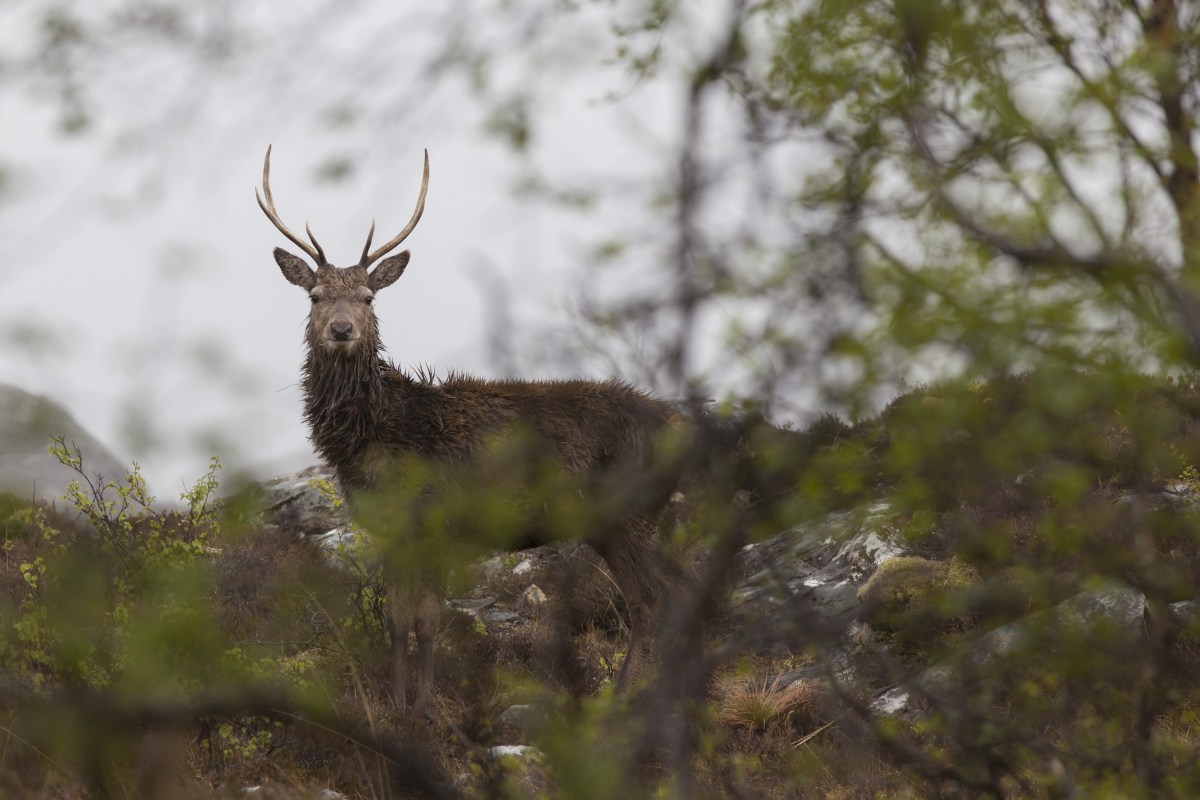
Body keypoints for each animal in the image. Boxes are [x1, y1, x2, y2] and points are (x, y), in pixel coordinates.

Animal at [256, 147, 698, 712]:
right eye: (313, 295)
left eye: (368, 297)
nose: (341, 329)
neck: (375, 439)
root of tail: (684, 429)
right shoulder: (389, 528)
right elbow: (396, 619)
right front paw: (396, 702)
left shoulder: (437, 520)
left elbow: (426, 619)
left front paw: (424, 707)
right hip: (622, 521)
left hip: (630, 513)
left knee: (656, 598)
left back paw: (630, 697)